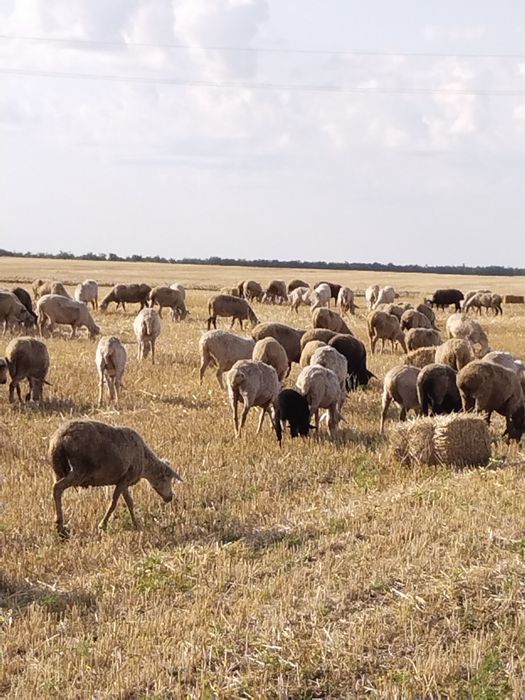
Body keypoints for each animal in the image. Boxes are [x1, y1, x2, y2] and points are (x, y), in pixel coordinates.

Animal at [49, 418, 182, 536]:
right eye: (167, 479)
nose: (170, 497)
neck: (145, 462)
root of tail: (59, 439)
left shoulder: (123, 480)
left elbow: (129, 502)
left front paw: (136, 525)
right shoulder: (125, 479)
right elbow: (114, 503)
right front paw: (102, 525)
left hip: (58, 470)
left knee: (57, 492)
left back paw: (60, 525)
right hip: (80, 470)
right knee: (57, 488)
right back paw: (60, 527)